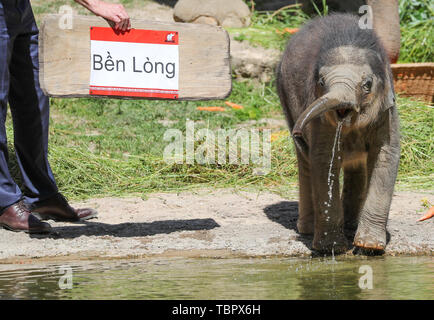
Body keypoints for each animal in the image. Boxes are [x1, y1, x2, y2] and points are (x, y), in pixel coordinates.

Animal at [278, 13, 400, 254]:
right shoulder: (319, 115)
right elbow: (324, 159)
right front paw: (332, 248)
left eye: (367, 84)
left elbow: (386, 154)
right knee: (306, 162)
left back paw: (351, 227)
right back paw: (307, 230)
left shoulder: (387, 111)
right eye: (321, 82)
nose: (298, 131)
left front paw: (369, 247)